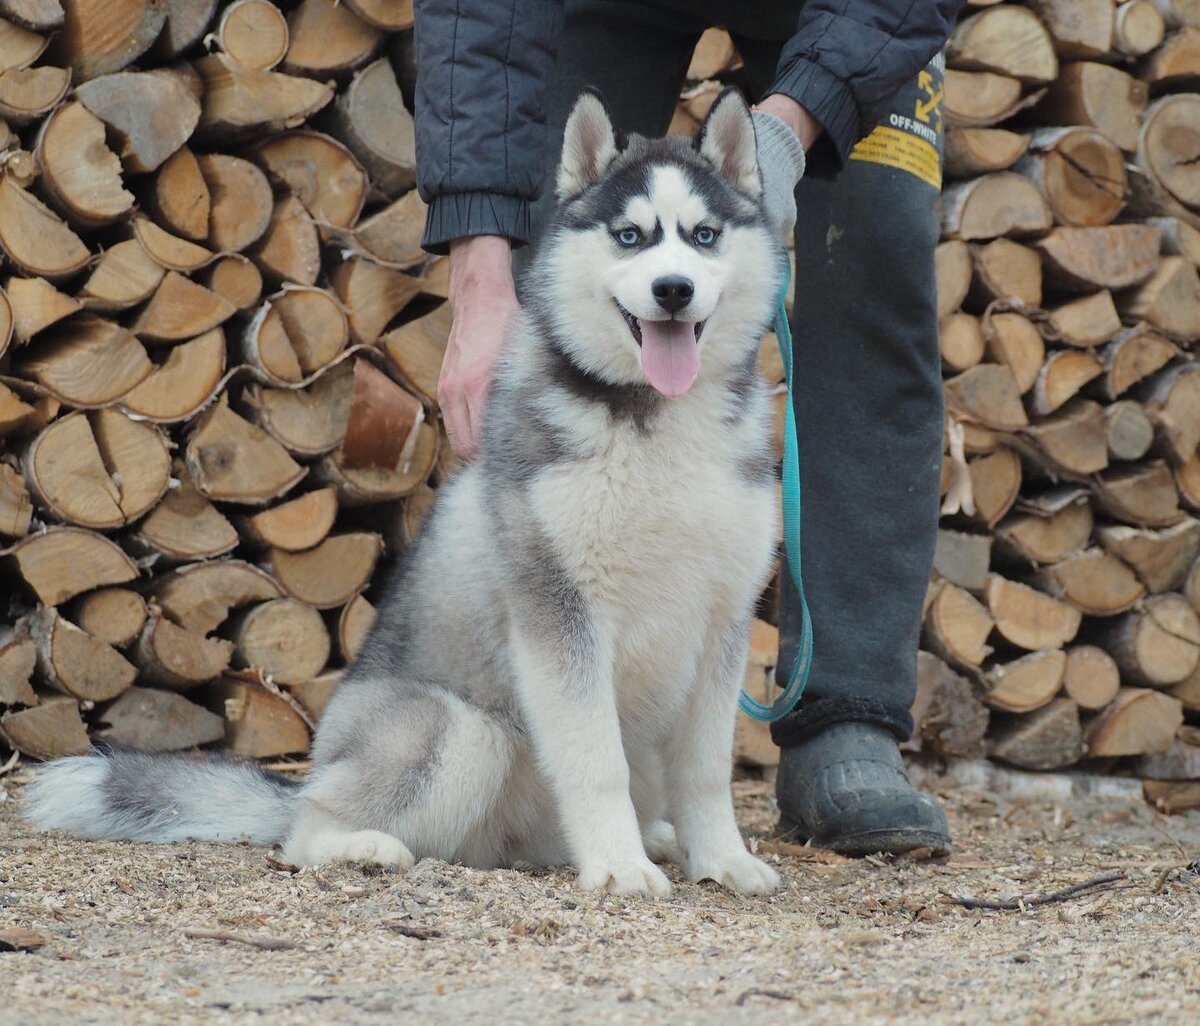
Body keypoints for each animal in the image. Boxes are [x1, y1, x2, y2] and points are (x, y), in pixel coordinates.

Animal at [28, 94, 787, 897]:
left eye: (703, 236)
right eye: (630, 236)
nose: (673, 289)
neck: (653, 422)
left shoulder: (723, 621)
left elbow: (707, 770)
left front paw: (723, 859)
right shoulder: (560, 611)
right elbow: (595, 761)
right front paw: (617, 866)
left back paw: (659, 837)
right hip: (457, 729)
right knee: (306, 829)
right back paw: (364, 846)